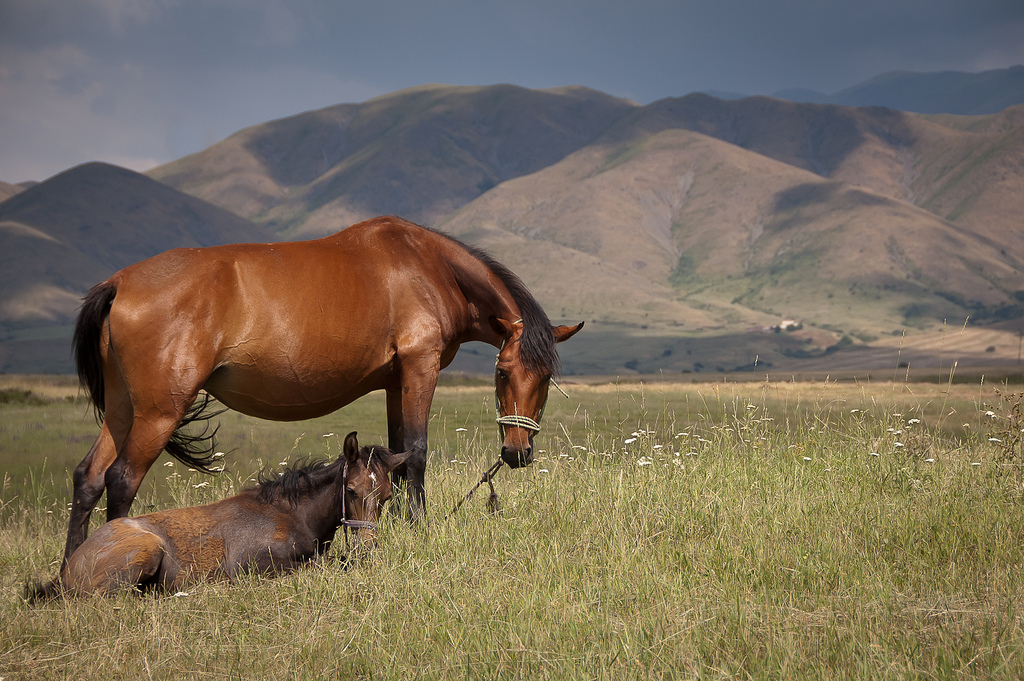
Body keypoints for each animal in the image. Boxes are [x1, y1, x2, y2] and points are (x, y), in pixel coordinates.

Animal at [29, 432, 403, 598]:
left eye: (386, 496)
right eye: (351, 490)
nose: (367, 547)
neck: (292, 515)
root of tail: (67, 570)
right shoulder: (250, 565)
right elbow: (317, 566)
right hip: (144, 552)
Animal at [68, 215, 585, 561]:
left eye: (545, 379)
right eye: (502, 372)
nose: (517, 452)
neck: (428, 265)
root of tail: (119, 282)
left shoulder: (395, 382)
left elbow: (395, 455)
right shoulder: (420, 368)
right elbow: (416, 453)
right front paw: (419, 530)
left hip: (123, 410)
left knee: (89, 477)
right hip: (157, 413)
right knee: (121, 479)